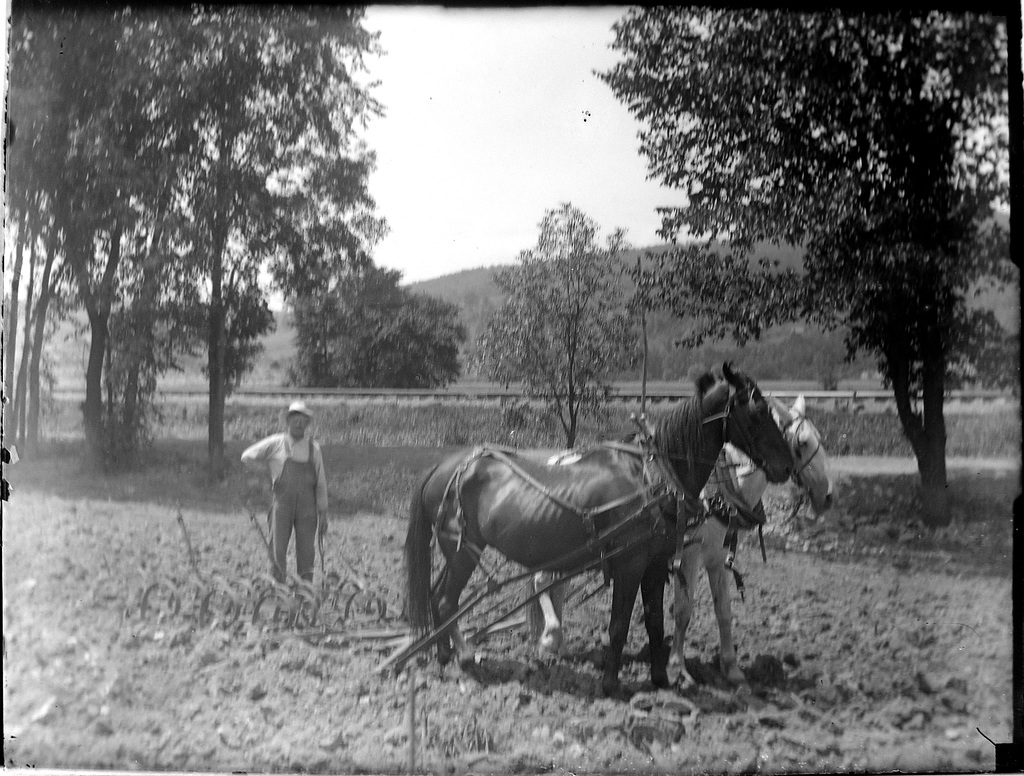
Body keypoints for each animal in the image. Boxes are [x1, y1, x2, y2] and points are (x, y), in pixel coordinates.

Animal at [401, 364, 790, 700]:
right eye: (757, 410)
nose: (785, 465)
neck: (651, 477)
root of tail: (444, 466)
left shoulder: (655, 563)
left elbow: (655, 622)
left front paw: (661, 680)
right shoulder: (630, 563)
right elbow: (619, 624)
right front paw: (610, 684)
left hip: (458, 551)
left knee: (437, 597)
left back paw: (444, 654)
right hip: (463, 549)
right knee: (446, 601)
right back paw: (462, 657)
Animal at [528, 397, 831, 687]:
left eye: (819, 438)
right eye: (802, 443)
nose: (827, 497)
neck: (722, 490)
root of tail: (557, 461)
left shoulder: (718, 558)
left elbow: (724, 612)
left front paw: (731, 668)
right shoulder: (690, 555)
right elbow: (684, 610)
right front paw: (678, 667)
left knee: (556, 586)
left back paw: (557, 646)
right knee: (543, 581)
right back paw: (550, 637)